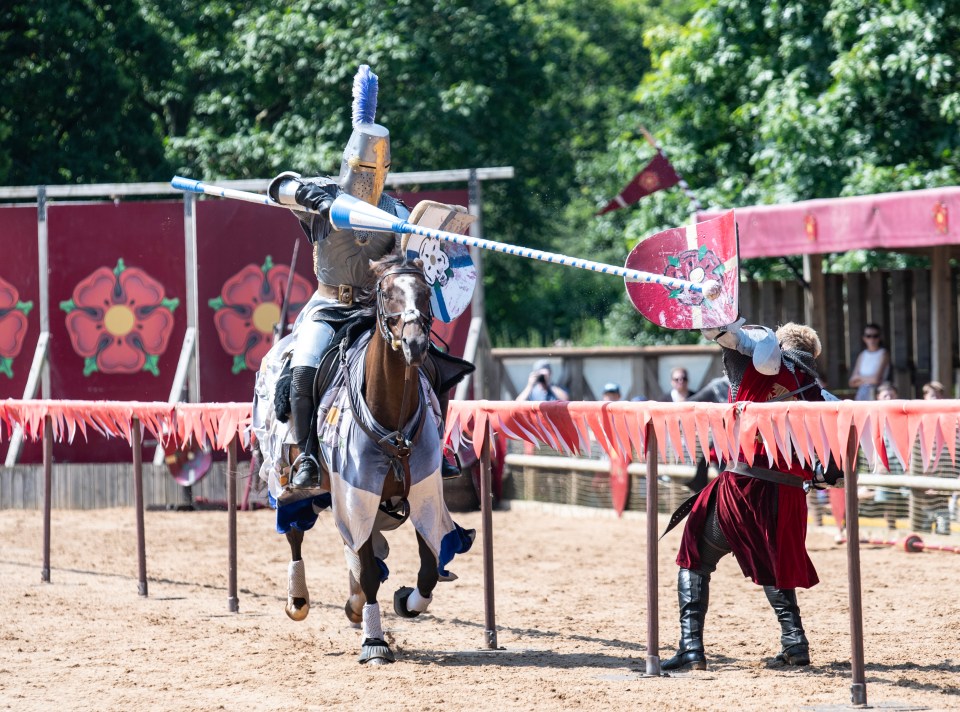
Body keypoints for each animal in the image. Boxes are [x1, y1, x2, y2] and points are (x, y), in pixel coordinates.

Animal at [282, 253, 472, 664]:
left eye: (425, 292)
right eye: (386, 293)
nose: (415, 343)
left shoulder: (423, 490)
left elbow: (429, 566)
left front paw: (407, 602)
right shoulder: (358, 492)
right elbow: (369, 569)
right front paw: (374, 642)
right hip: (285, 477)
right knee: (295, 531)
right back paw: (298, 599)